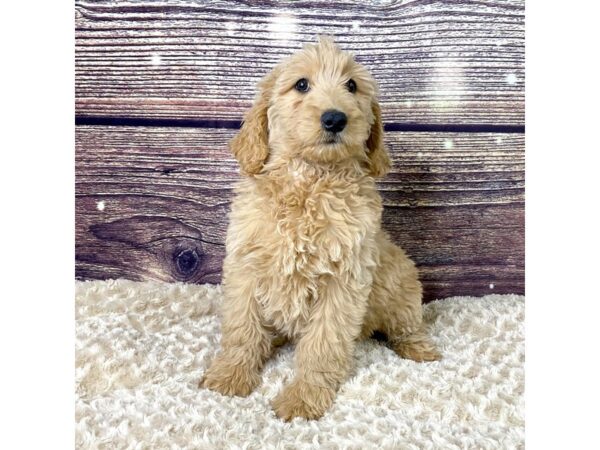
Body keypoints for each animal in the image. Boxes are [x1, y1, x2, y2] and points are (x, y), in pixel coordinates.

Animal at [202, 37, 440, 420]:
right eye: (301, 84)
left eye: (352, 86)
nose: (335, 118)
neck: (311, 178)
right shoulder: (245, 267)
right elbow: (242, 328)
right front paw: (230, 374)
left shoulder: (343, 281)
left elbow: (323, 344)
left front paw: (303, 397)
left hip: (402, 287)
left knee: (408, 326)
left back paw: (420, 349)